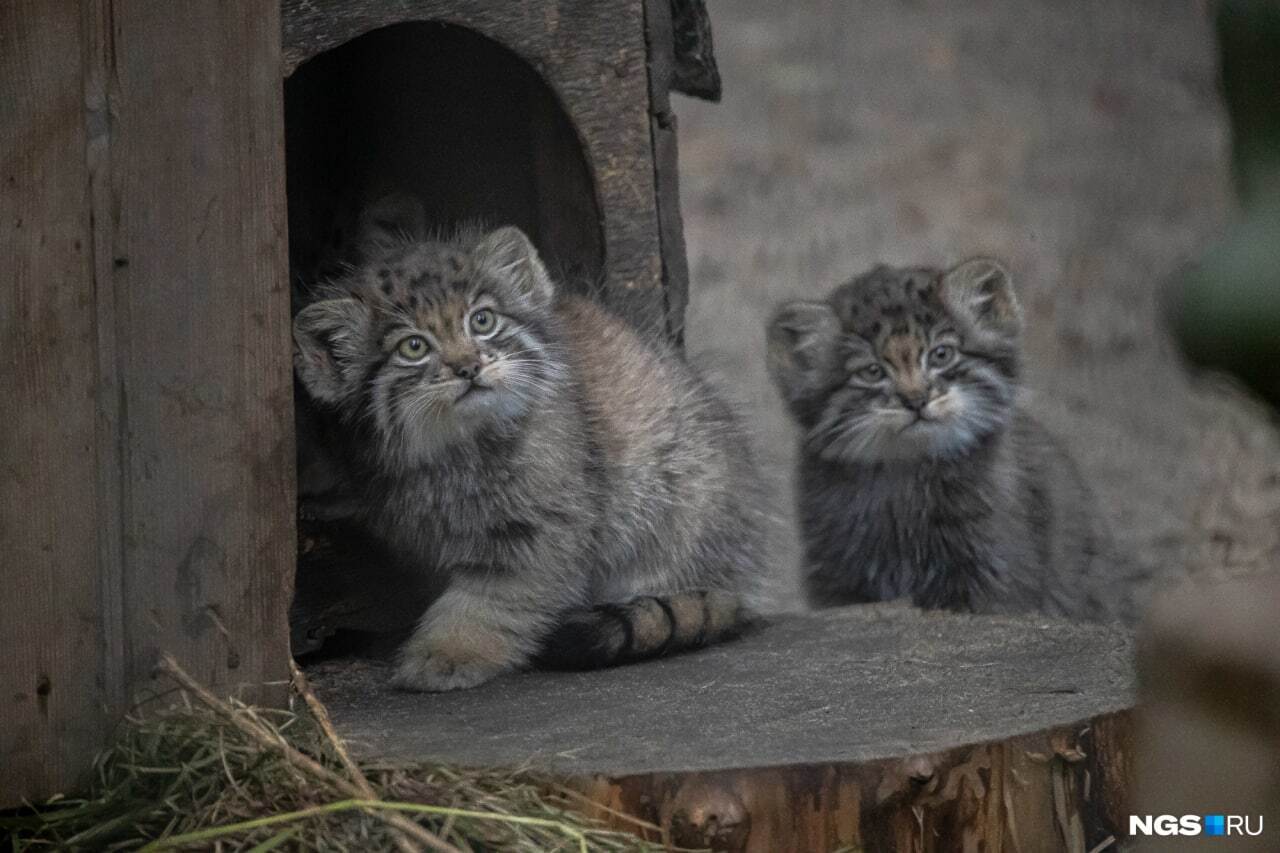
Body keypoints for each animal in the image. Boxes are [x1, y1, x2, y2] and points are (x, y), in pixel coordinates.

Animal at [294, 199, 762, 691]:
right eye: (413, 347)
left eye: (482, 320)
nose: (468, 366)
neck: (455, 449)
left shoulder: (543, 527)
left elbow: (493, 600)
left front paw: (447, 653)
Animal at [762, 257, 1136, 617]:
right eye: (872, 372)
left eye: (941, 355)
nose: (916, 400)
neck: (905, 474)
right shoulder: (837, 571)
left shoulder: (992, 568)